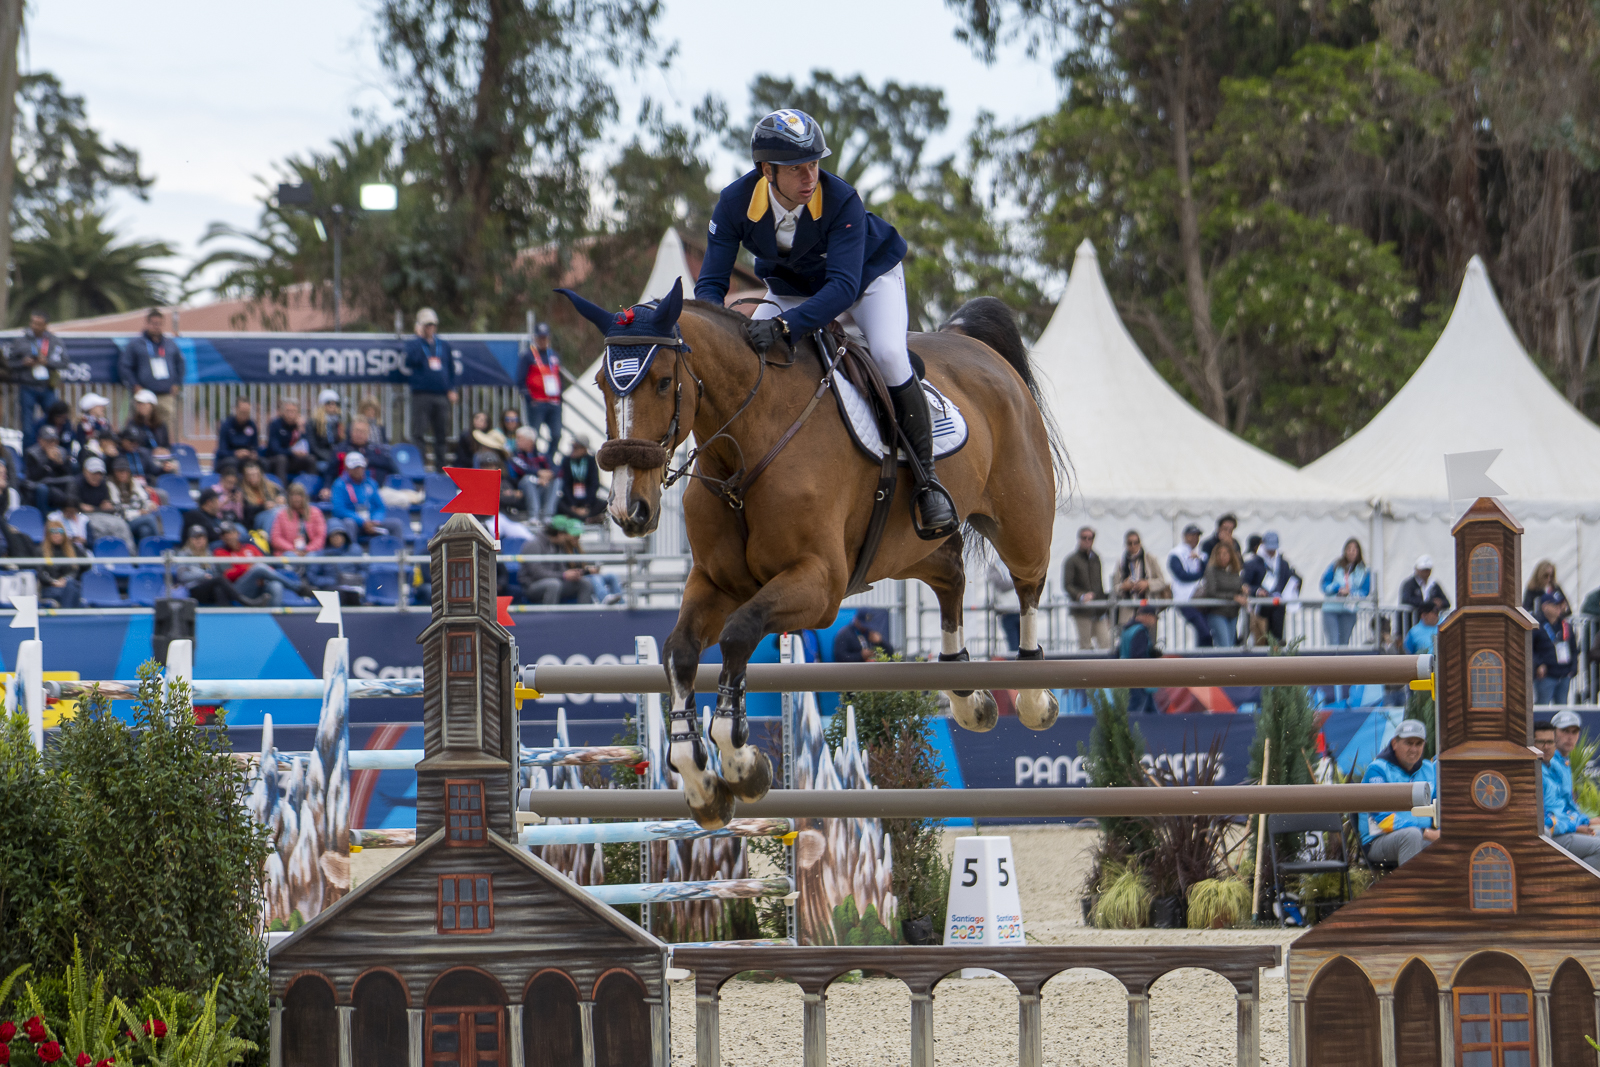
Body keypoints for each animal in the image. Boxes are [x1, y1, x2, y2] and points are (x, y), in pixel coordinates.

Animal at [560, 279, 1062, 831]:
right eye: (603, 386)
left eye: (664, 381)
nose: (629, 509)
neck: (743, 449)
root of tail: (976, 348)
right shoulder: (716, 583)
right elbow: (680, 651)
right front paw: (699, 781)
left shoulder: (818, 586)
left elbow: (738, 634)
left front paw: (740, 762)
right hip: (907, 549)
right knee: (951, 576)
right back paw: (967, 695)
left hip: (1020, 523)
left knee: (1029, 583)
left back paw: (1034, 696)